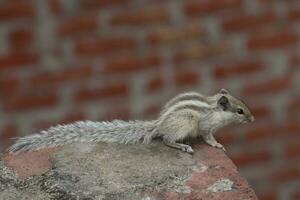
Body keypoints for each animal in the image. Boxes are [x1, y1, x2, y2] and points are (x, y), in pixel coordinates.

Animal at [8, 88, 254, 154]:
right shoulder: (204, 126)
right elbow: (207, 136)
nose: (253, 118)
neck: (214, 108)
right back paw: (181, 145)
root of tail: (158, 123)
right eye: (240, 111)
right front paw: (217, 144)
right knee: (166, 139)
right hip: (183, 123)